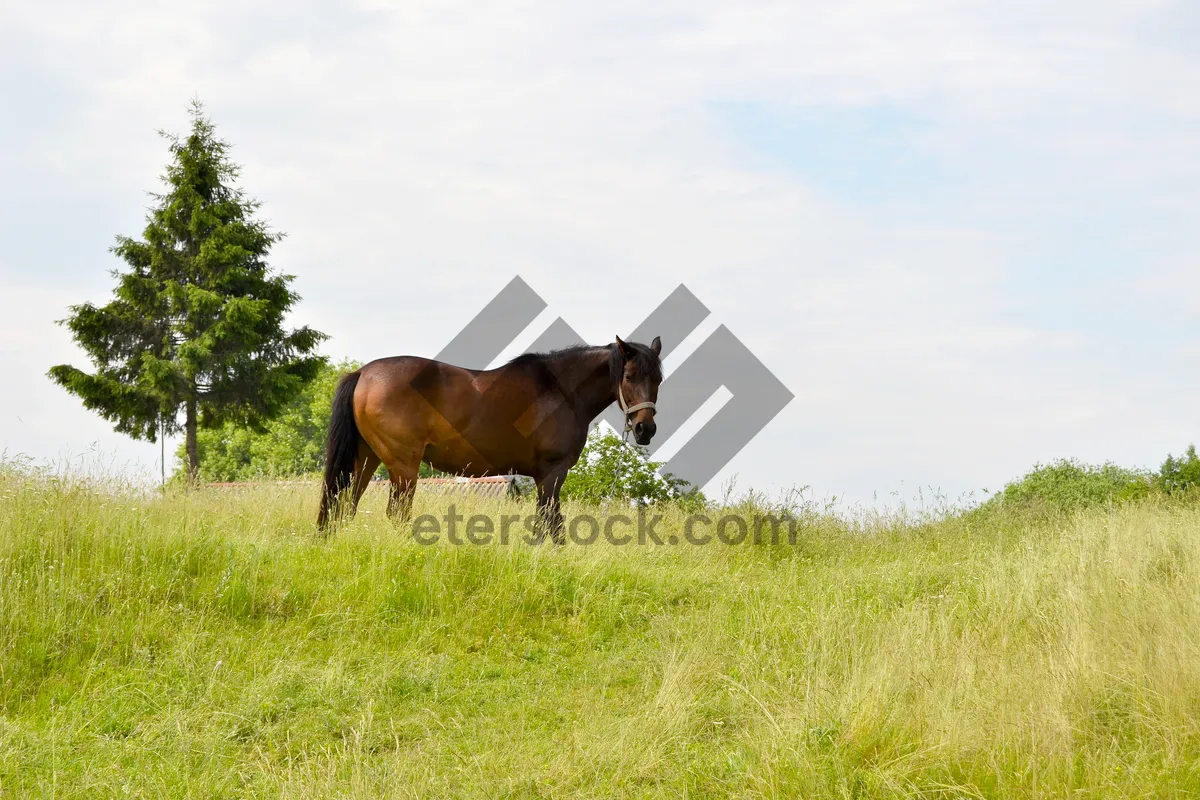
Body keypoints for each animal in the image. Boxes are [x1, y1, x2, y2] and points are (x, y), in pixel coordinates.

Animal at [314, 335, 662, 542]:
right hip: (402, 465)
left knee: (343, 505)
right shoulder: (552, 473)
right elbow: (552, 524)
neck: (561, 390)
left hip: (365, 459)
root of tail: (362, 373)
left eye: (658, 378)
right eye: (629, 376)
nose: (645, 429)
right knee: (396, 513)